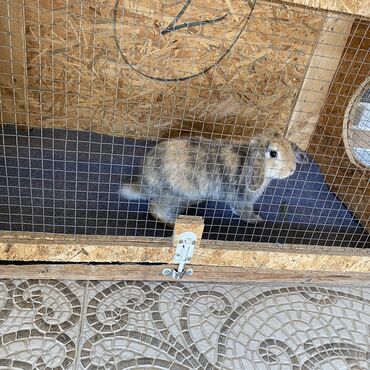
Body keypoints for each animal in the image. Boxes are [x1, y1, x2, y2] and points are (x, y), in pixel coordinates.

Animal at [121, 132, 304, 225]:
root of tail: (144, 182)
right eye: (273, 153)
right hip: (173, 194)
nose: (292, 169)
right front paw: (255, 220)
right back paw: (172, 221)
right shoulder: (242, 198)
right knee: (156, 209)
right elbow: (243, 210)